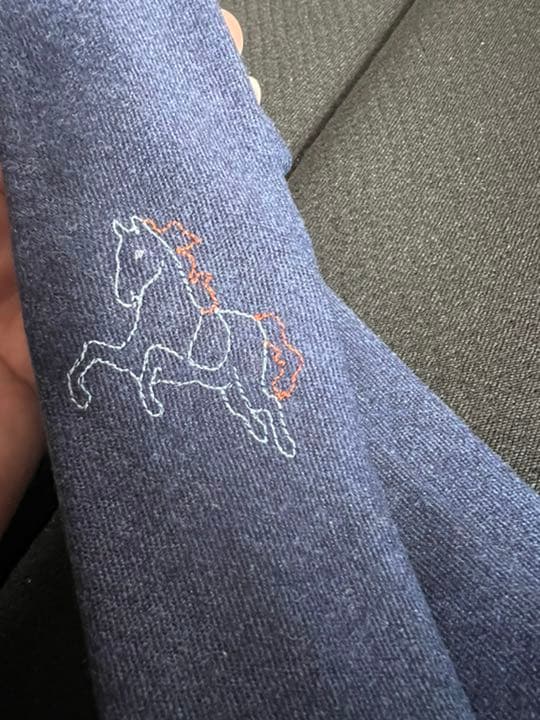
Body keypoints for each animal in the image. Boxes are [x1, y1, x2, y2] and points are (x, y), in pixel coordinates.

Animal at [67, 215, 304, 459]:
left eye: (139, 253)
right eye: (119, 254)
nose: (124, 296)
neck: (169, 316)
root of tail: (258, 324)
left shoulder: (180, 365)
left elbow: (153, 357)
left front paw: (152, 402)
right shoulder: (129, 357)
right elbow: (95, 349)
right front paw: (81, 394)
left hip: (249, 383)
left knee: (269, 404)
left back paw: (285, 445)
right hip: (228, 386)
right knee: (245, 409)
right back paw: (260, 433)